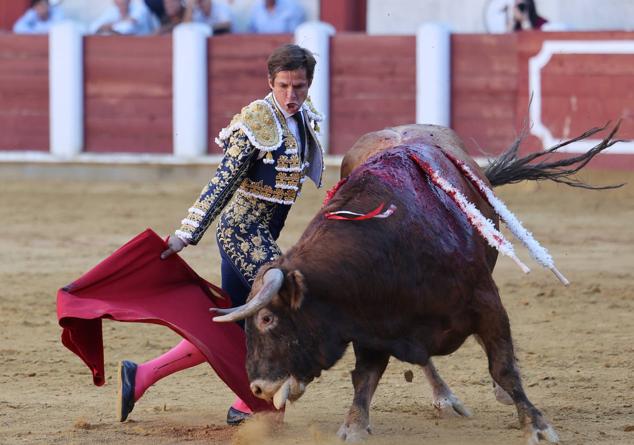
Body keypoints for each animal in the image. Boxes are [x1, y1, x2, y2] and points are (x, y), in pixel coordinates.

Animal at [212, 123, 616, 442]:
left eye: (267, 318)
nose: (258, 387)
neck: (392, 245)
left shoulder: (487, 302)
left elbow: (502, 365)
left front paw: (536, 425)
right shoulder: (370, 323)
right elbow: (365, 377)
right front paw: (353, 427)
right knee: (423, 360)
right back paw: (444, 396)